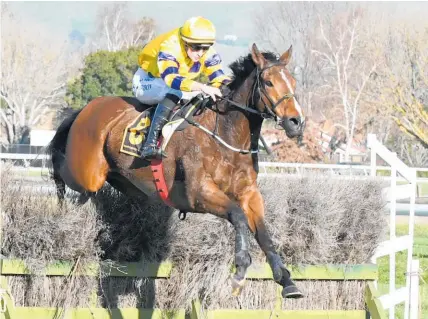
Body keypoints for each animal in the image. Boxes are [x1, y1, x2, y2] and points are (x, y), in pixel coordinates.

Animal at [46, 43, 306, 300]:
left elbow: (263, 232)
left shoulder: (249, 193)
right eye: (268, 82)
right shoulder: (198, 194)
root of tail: (85, 109)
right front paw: (240, 269)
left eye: (293, 82)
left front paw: (286, 280)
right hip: (87, 175)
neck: (224, 133)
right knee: (61, 173)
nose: (296, 122)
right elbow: (238, 215)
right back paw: (57, 200)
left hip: (121, 180)